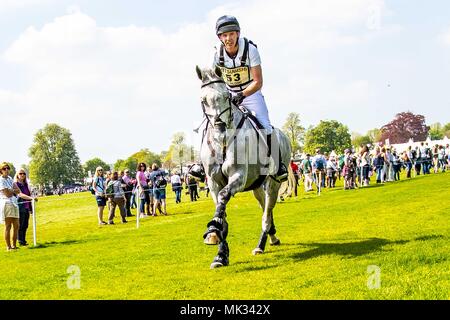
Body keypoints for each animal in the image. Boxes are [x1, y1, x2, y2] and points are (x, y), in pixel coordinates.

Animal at [195, 66, 294, 268]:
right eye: (203, 100)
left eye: (227, 96)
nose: (220, 128)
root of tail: (283, 135)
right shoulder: (213, 183)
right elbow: (221, 211)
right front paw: (220, 253)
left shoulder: (238, 176)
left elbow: (224, 196)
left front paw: (213, 230)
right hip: (257, 186)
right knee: (265, 209)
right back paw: (272, 237)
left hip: (273, 184)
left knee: (267, 214)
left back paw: (260, 245)